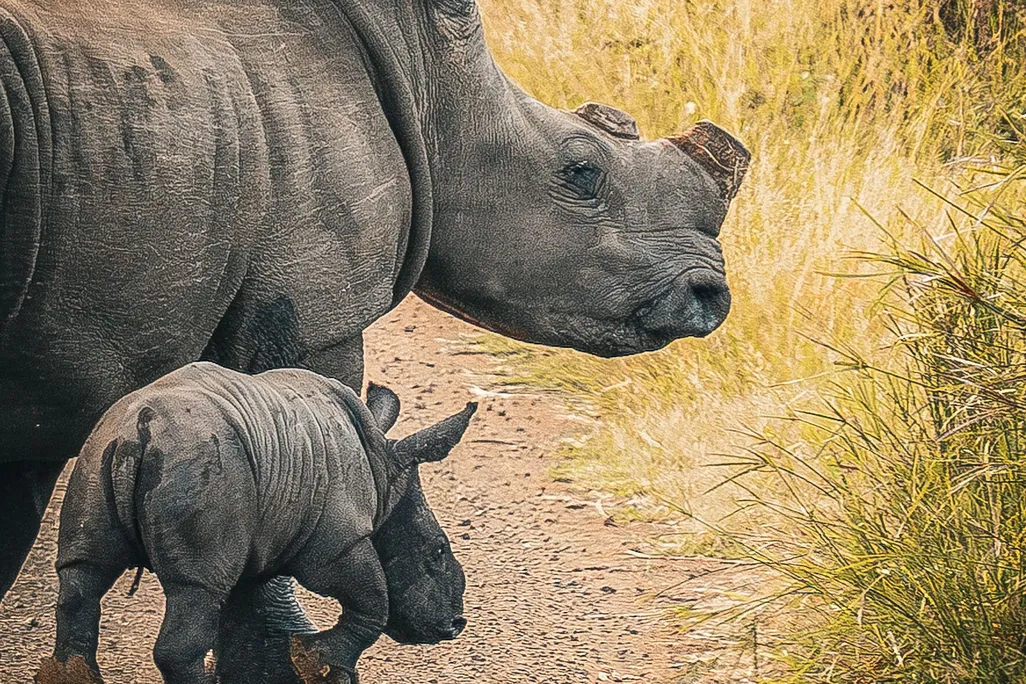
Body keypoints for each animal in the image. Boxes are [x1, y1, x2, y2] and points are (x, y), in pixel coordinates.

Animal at [36, 362, 474, 684]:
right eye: (437, 552)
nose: (455, 624)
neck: (385, 477)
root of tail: (140, 431)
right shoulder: (338, 542)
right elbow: (373, 602)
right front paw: (314, 661)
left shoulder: (259, 533)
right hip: (202, 466)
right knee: (196, 592)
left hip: (100, 450)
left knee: (83, 574)